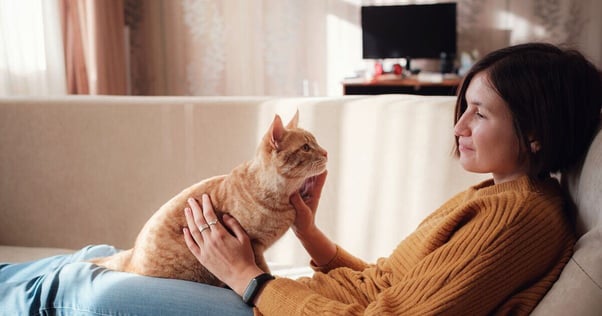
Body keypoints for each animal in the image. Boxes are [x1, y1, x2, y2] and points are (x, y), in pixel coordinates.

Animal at [88, 112, 328, 286]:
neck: (282, 199)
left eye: (316, 143)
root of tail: (132, 256)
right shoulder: (253, 244)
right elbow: (262, 268)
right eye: (306, 147)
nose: (326, 152)